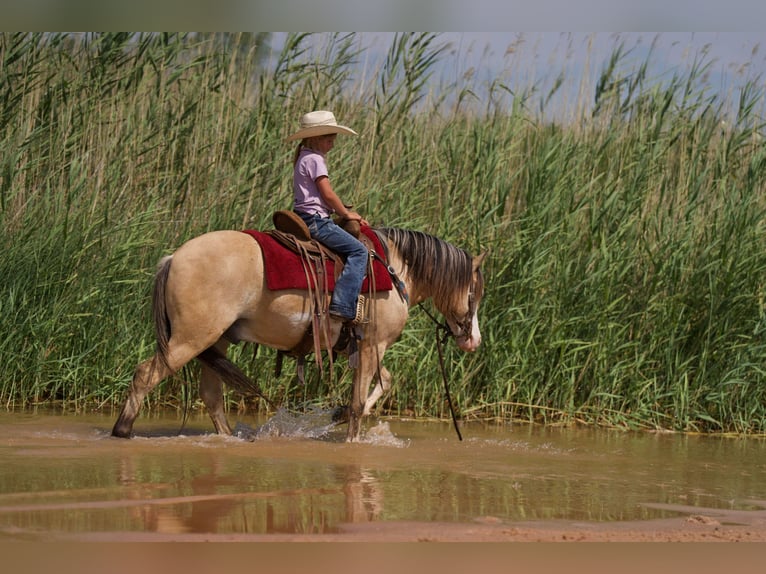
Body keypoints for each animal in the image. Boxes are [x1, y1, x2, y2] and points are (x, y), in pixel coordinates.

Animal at [111, 227, 488, 444]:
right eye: (474, 292)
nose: (473, 340)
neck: (395, 271)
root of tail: (174, 258)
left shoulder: (361, 347)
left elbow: (384, 382)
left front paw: (337, 416)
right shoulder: (372, 344)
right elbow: (359, 401)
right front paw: (351, 438)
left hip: (214, 342)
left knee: (211, 394)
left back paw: (229, 438)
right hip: (190, 340)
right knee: (145, 375)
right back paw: (122, 431)